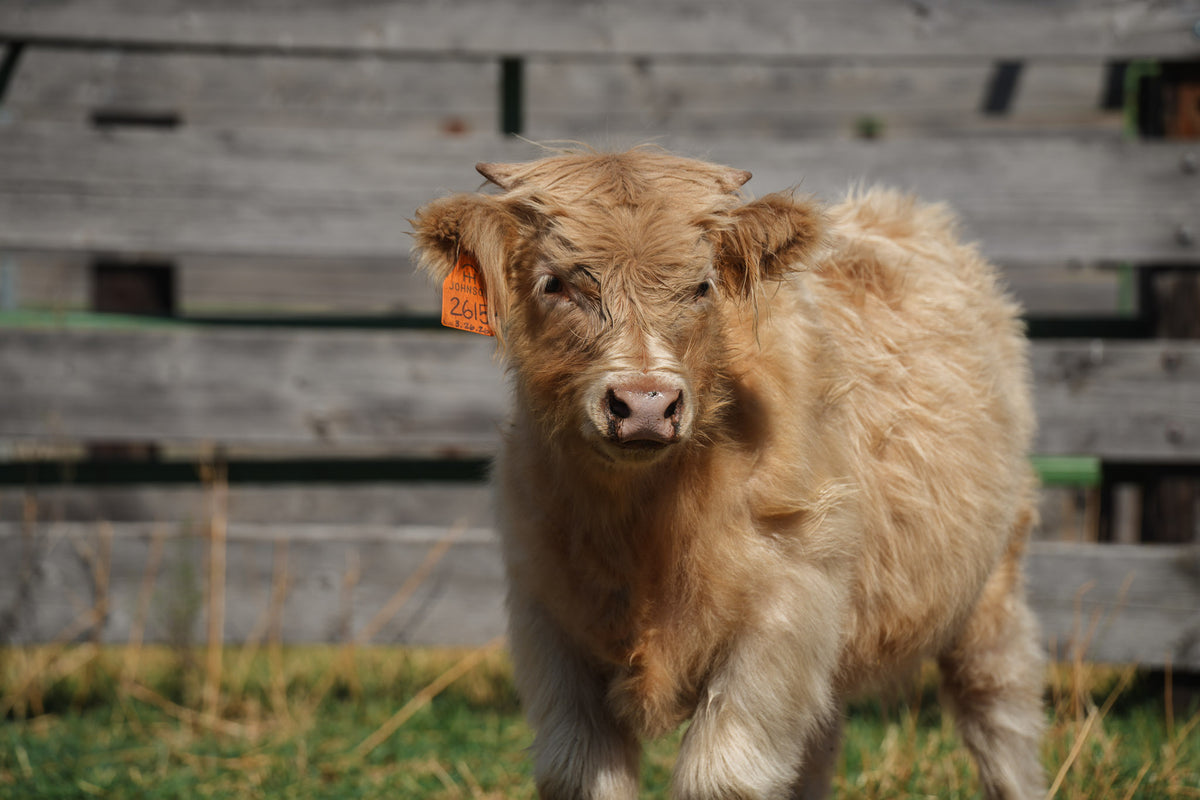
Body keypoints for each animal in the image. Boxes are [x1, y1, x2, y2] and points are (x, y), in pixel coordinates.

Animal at [412, 147, 1046, 800]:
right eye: (556, 283)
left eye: (702, 286)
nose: (645, 404)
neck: (645, 532)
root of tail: (897, 209)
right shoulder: (549, 625)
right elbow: (580, 772)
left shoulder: (781, 622)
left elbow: (722, 778)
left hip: (993, 590)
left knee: (1000, 712)